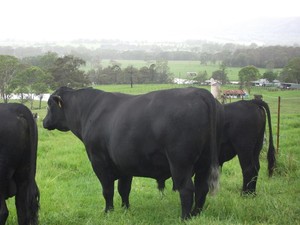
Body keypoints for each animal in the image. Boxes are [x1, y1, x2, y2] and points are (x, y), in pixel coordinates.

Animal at [43, 86, 223, 220]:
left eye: (49, 105)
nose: (44, 122)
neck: (89, 110)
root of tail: (201, 92)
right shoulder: (124, 164)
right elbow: (124, 189)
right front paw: (125, 209)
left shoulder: (98, 161)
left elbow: (107, 190)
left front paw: (108, 212)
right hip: (204, 162)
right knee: (202, 188)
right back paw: (196, 214)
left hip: (180, 163)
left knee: (186, 190)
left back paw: (184, 218)